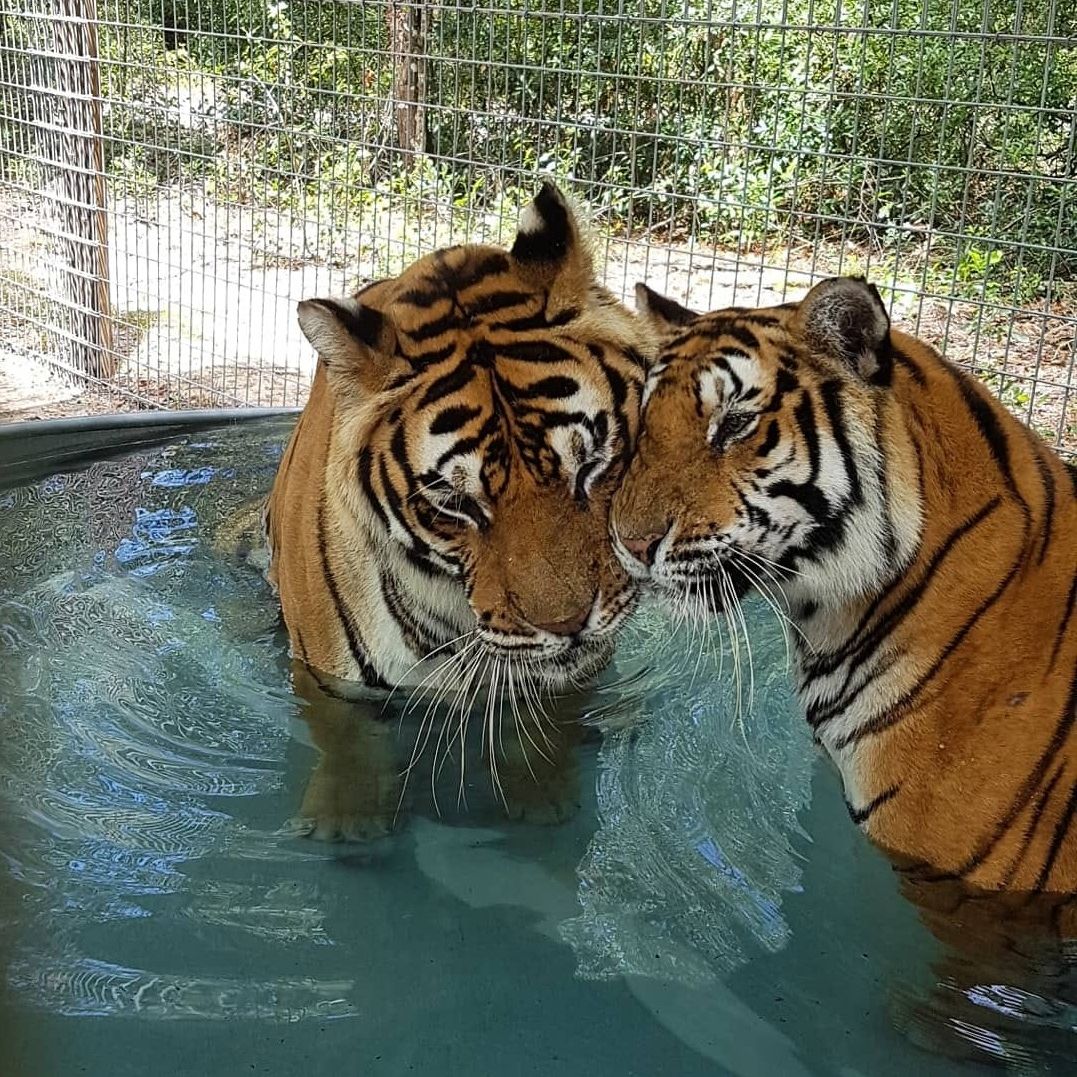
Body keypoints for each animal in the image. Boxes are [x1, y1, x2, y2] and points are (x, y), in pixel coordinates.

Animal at [264, 183, 655, 838]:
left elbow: (550, 722)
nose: (569, 626)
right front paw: (349, 822)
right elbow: (345, 737)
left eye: (593, 461)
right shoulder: (331, 682)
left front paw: (541, 798)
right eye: (455, 503)